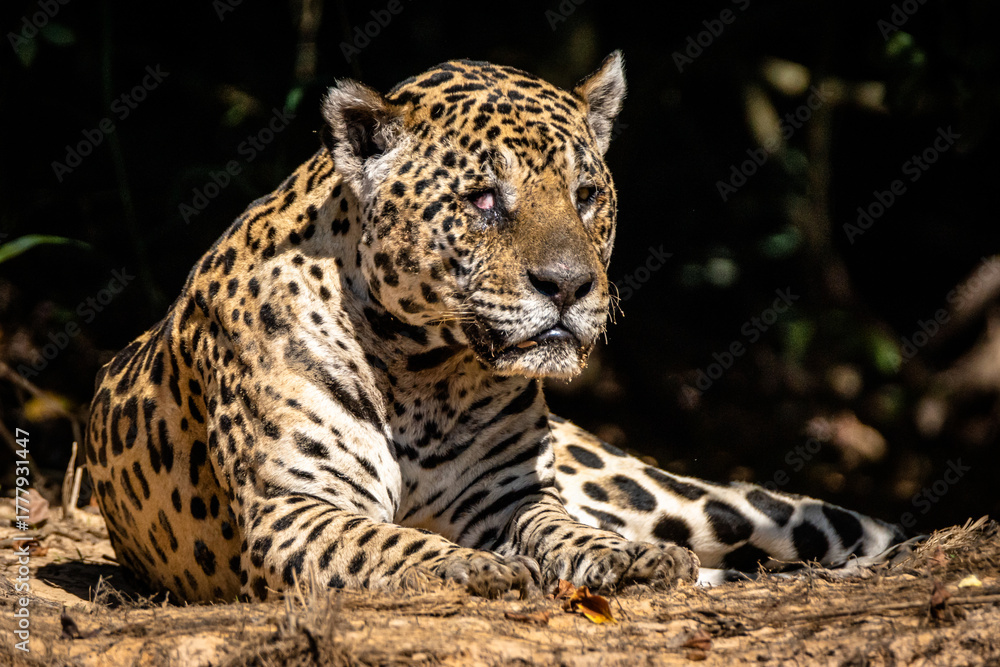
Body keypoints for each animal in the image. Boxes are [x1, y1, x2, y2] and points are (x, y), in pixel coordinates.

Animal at [85, 52, 905, 603]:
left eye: (585, 195)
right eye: (482, 199)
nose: (568, 286)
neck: (424, 372)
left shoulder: (507, 497)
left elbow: (565, 529)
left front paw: (623, 558)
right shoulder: (290, 508)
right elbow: (380, 539)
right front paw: (470, 565)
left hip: (661, 495)